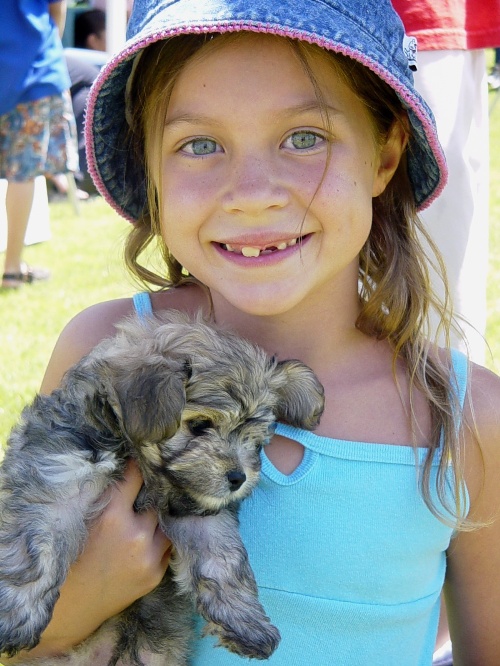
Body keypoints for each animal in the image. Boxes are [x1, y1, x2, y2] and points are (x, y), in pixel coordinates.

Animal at [0, 312, 324, 664]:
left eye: (255, 439)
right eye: (200, 425)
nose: (238, 477)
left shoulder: (198, 512)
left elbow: (222, 557)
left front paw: (245, 622)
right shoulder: (57, 476)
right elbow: (37, 547)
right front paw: (14, 616)